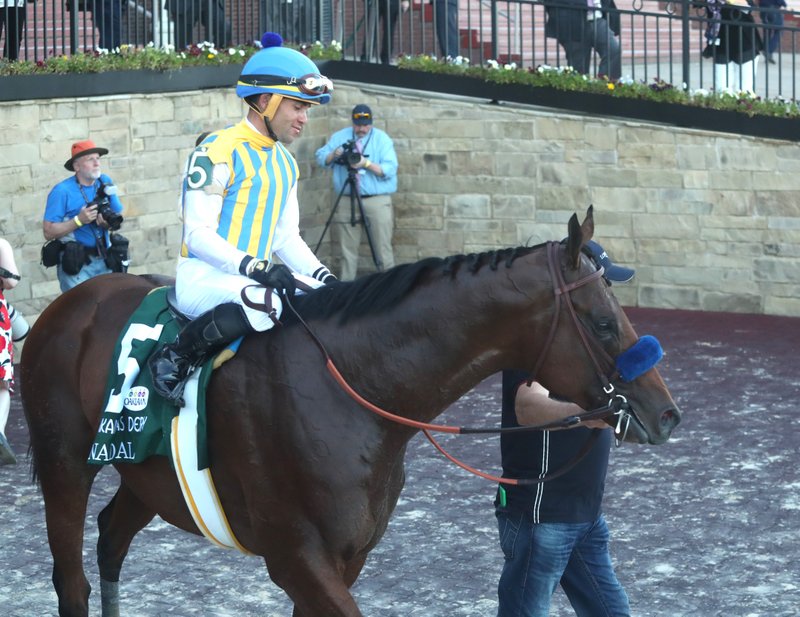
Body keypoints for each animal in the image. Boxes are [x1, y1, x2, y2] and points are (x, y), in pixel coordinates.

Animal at [20, 208, 680, 616]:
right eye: (603, 322)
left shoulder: (348, 555)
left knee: (111, 537)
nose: (666, 413)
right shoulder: (298, 557)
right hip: (64, 465)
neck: (353, 391)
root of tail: (70, 303)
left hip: (149, 477)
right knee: (71, 578)